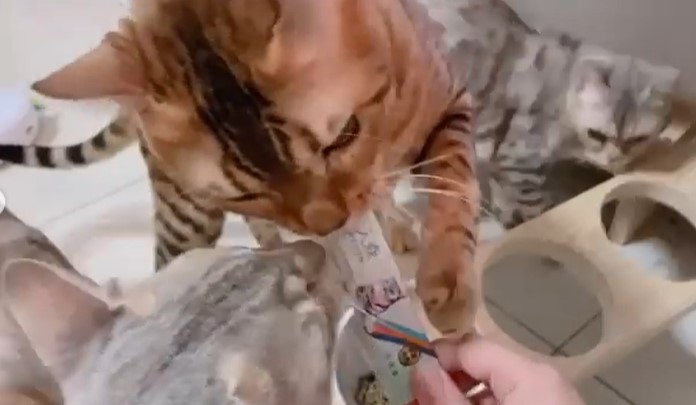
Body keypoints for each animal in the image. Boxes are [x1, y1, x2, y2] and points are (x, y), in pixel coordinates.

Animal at [3, 0, 479, 335]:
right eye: (248, 192)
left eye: (344, 135)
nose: (328, 224)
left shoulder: (451, 100)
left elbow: (453, 185)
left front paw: (445, 282)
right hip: (186, 218)